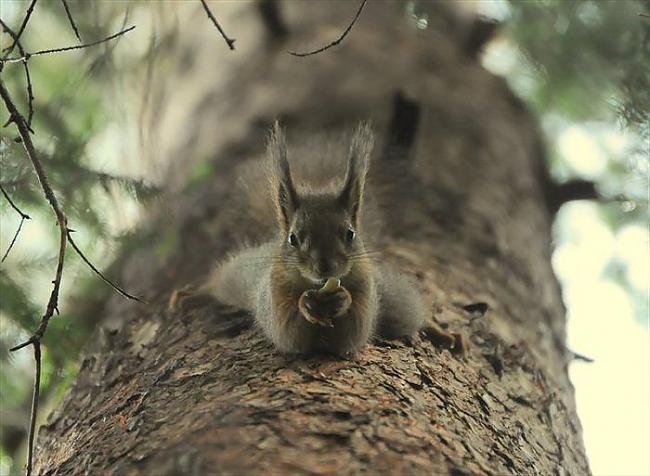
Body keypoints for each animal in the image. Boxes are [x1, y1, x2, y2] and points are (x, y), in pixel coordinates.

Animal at [172, 122, 464, 356]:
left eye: (350, 233)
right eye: (293, 238)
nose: (325, 267)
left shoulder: (366, 288)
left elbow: (353, 333)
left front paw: (342, 300)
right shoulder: (273, 295)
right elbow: (289, 334)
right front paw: (307, 304)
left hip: (392, 297)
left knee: (410, 312)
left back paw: (440, 332)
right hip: (239, 274)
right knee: (218, 282)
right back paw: (191, 296)